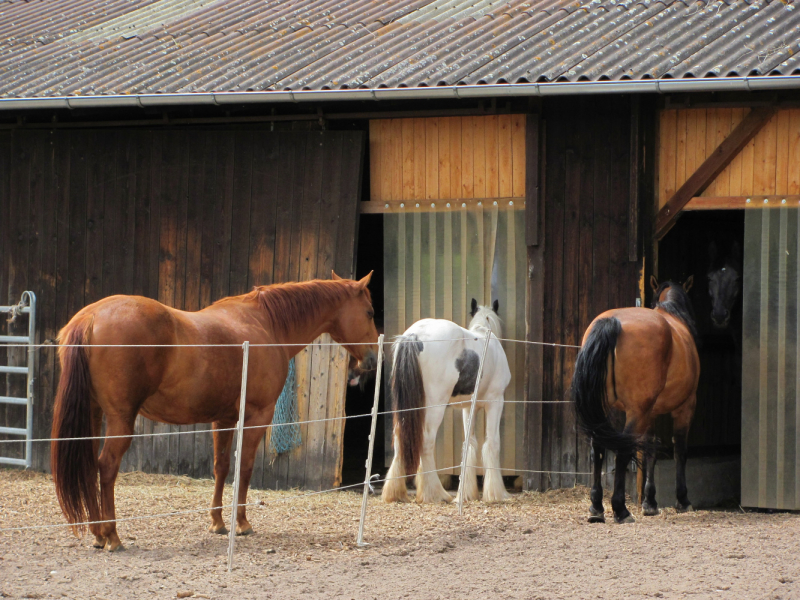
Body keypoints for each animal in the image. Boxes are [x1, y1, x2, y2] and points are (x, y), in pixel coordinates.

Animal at [52, 274, 378, 552]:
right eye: (370, 312)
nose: (373, 359)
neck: (266, 324)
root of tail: (91, 317)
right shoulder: (257, 416)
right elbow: (245, 467)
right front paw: (242, 523)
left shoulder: (223, 419)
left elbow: (221, 467)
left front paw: (218, 522)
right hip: (121, 419)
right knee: (106, 467)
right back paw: (112, 536)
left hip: (94, 414)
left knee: (90, 464)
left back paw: (97, 534)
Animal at [382, 298, 512, 502]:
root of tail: (414, 336)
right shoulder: (495, 402)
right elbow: (492, 443)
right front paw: (496, 494)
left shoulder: (468, 407)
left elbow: (469, 444)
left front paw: (466, 493)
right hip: (435, 406)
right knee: (426, 442)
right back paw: (435, 493)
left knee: (399, 438)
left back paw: (395, 492)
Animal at [568, 278, 700, 524]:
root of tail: (612, 323)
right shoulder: (685, 406)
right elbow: (680, 450)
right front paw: (682, 499)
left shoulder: (651, 412)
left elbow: (650, 450)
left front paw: (650, 502)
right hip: (637, 412)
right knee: (622, 450)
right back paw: (621, 510)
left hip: (607, 409)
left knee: (598, 449)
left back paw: (596, 507)